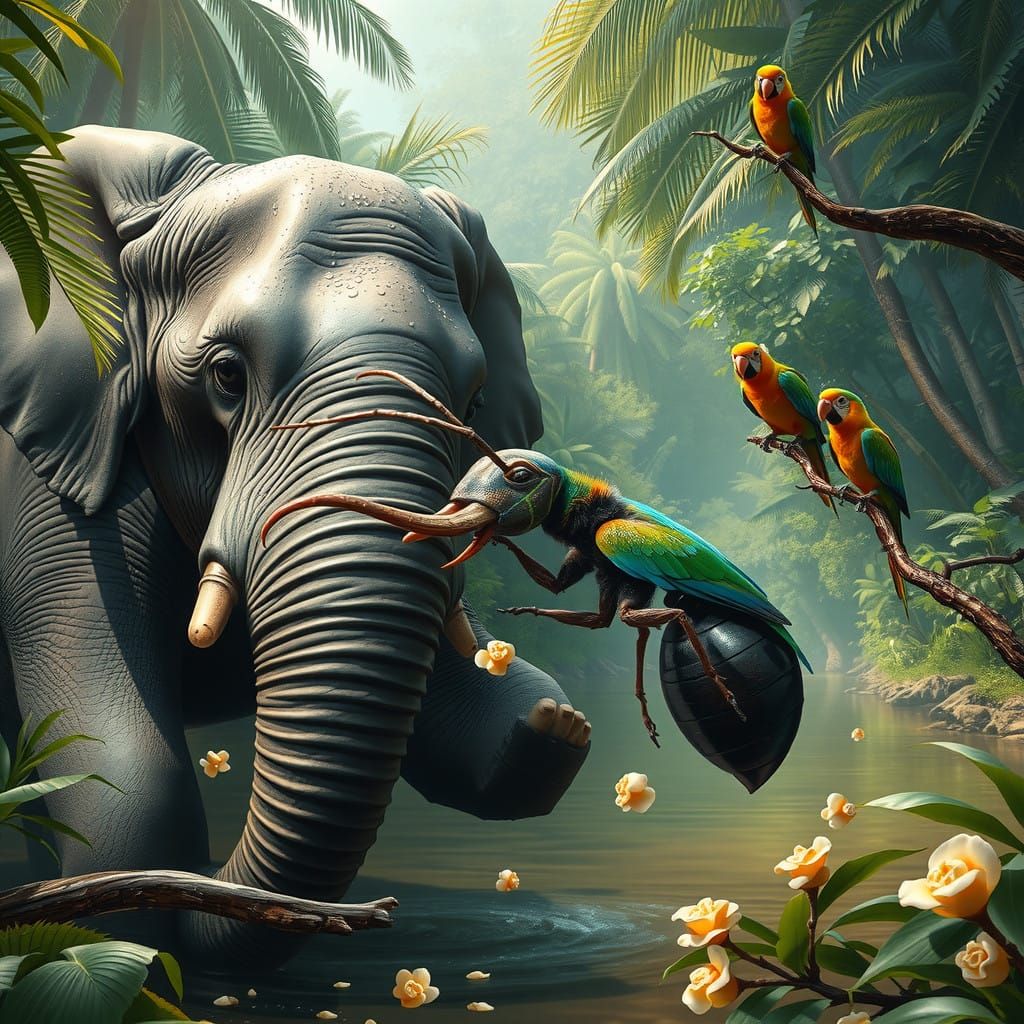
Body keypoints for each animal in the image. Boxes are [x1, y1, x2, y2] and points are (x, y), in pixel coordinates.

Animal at [0, 126, 590, 967]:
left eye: (473, 403)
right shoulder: (56, 470)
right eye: (225, 376)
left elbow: (470, 741)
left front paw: (552, 721)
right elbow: (125, 767)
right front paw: (118, 943)